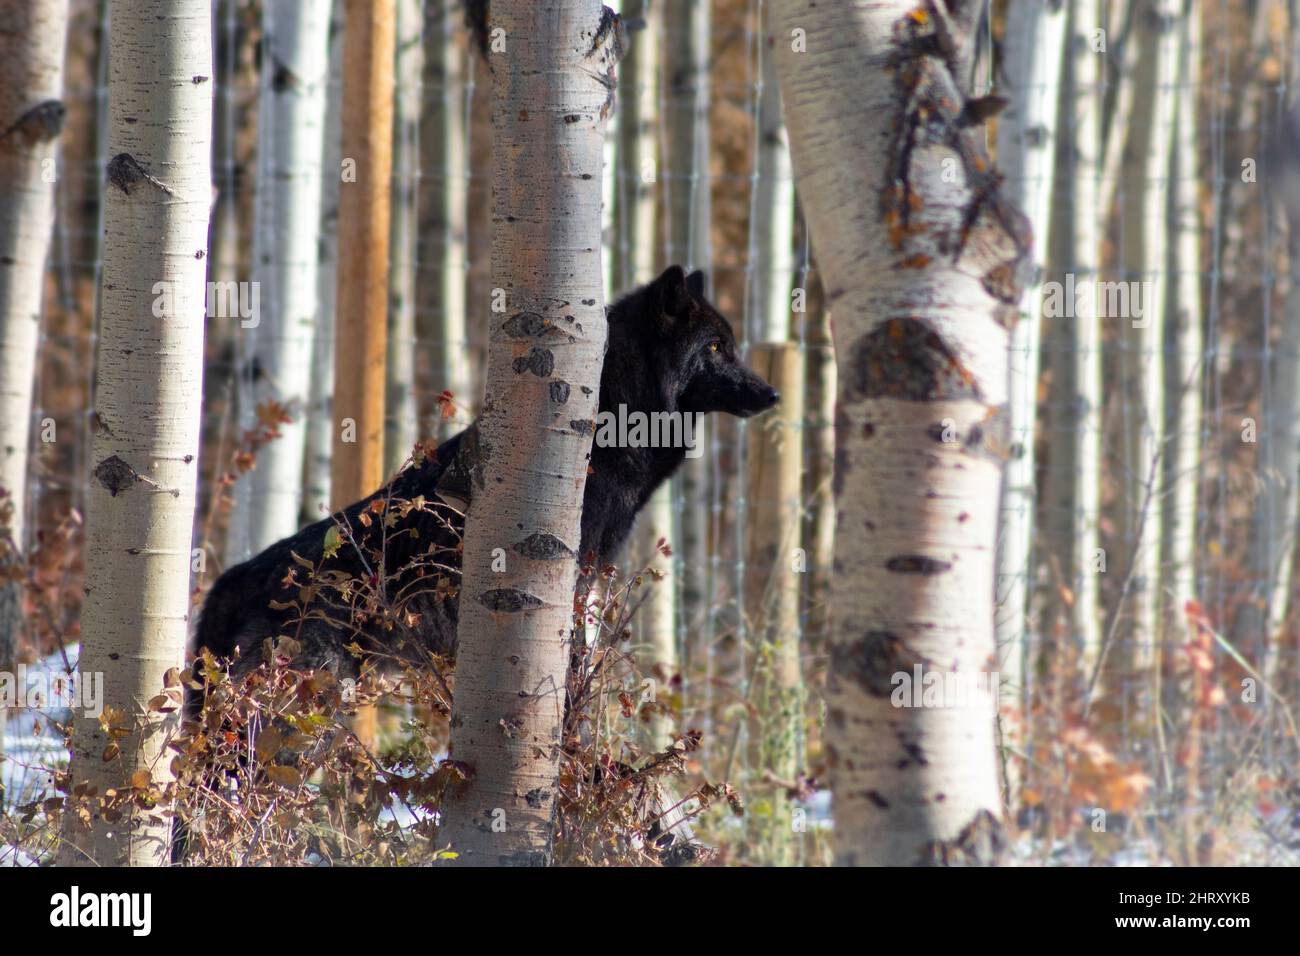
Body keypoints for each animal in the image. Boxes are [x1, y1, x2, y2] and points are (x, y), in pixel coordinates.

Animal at [195, 269, 769, 686]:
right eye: (714, 348)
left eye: (732, 345)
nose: (772, 394)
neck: (609, 426)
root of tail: (226, 583)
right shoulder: (574, 577)